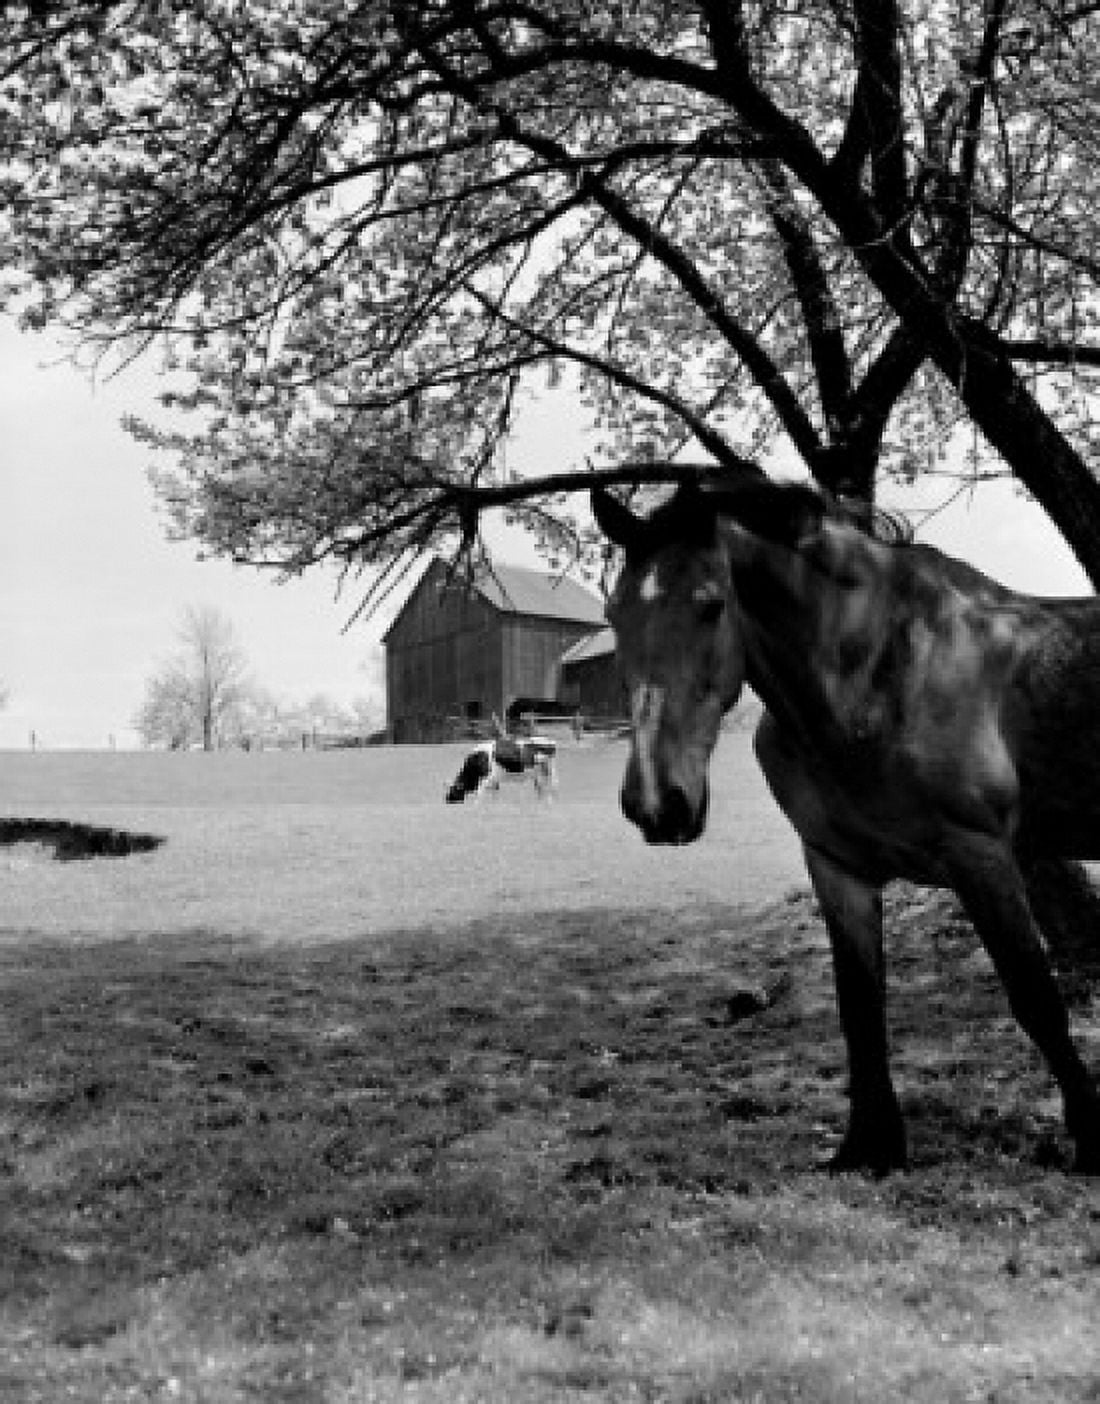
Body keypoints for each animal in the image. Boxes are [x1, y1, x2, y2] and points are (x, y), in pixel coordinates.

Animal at [592, 476, 1100, 1175]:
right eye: (614, 614)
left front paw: (1096, 1138)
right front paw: (869, 1146)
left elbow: (1036, 998)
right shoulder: (836, 866)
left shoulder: (982, 856)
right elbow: (859, 1005)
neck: (880, 676)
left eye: (710, 605)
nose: (655, 802)